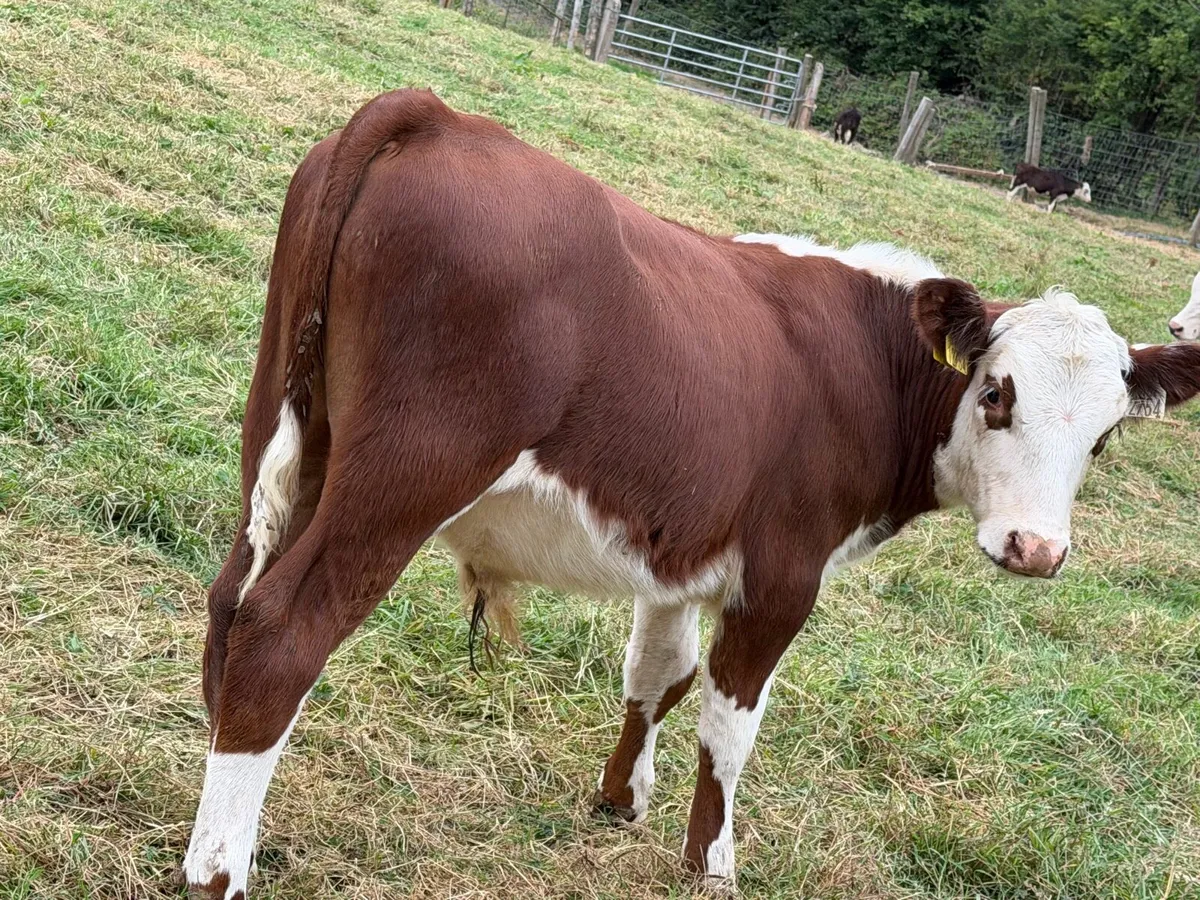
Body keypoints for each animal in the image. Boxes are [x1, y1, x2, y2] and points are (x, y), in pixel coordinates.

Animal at [183, 89, 1200, 899]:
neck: (865, 360)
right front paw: (711, 862)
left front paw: (620, 798)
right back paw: (219, 867)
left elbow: (657, 674)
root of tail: (433, 114)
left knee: (230, 603)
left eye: (1106, 435)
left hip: (286, 439)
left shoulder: (678, 549)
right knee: (283, 632)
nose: (1036, 549)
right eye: (995, 393)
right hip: (405, 476)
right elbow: (728, 720)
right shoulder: (783, 574)